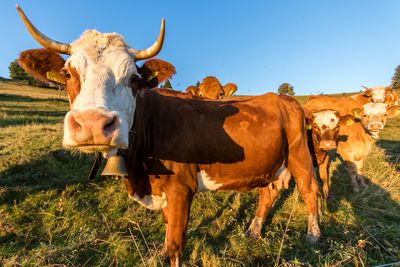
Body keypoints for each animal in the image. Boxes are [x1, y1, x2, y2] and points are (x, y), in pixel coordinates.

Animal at [17, 5, 320, 266]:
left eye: (134, 79)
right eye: (68, 73)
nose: (93, 123)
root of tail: (281, 97)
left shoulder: (180, 188)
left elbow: (175, 244)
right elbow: (166, 233)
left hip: (299, 153)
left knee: (309, 188)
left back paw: (313, 234)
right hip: (269, 162)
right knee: (267, 192)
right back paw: (255, 229)